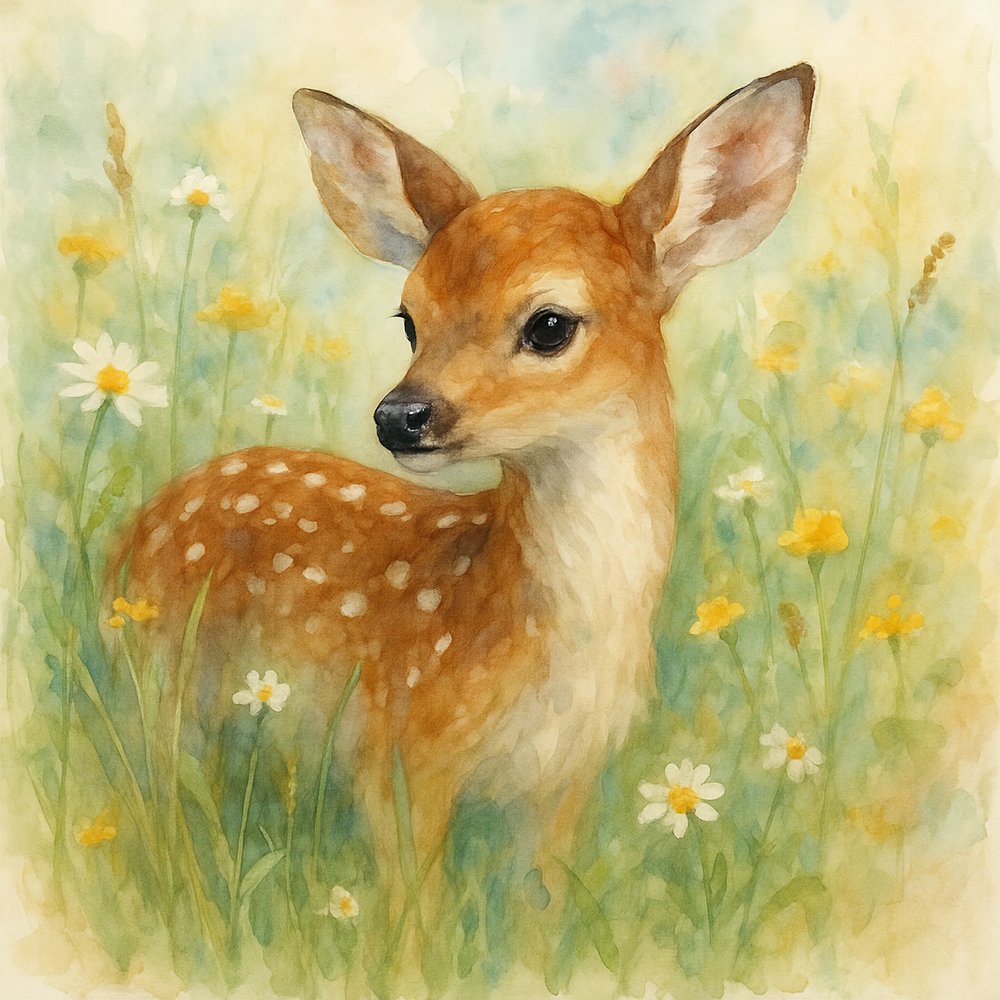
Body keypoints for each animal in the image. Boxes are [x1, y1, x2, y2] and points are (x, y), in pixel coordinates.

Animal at [114, 64, 815, 915]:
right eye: (409, 319)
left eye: (549, 324)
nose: (400, 416)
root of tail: (137, 526)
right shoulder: (396, 747)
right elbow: (417, 919)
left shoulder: (563, 780)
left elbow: (540, 913)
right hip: (160, 678)